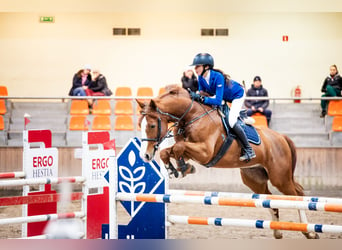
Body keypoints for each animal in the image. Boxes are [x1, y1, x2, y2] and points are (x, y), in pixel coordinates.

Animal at [137, 85, 318, 239]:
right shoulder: (191, 152)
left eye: (152, 125)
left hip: (279, 177)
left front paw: (182, 168)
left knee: (296, 195)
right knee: (270, 198)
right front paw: (177, 169)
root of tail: (281, 137)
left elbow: (179, 147)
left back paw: (310, 232)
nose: (145, 156)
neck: (191, 115)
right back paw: (278, 231)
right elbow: (169, 151)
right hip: (254, 178)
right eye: (140, 124)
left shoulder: (205, 152)